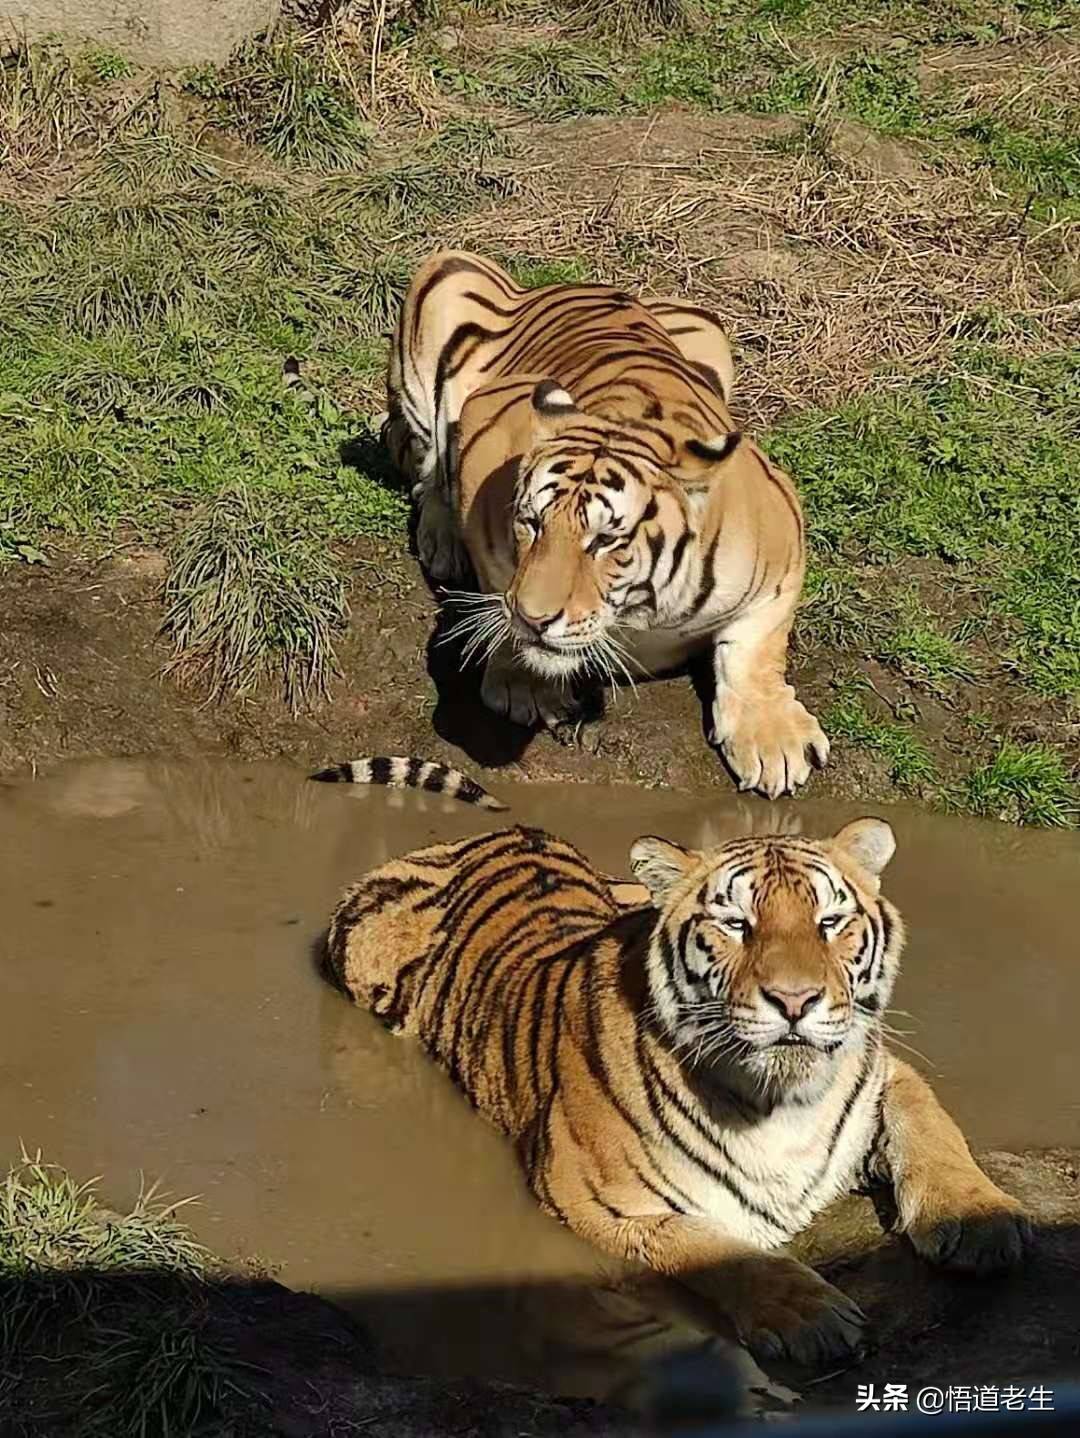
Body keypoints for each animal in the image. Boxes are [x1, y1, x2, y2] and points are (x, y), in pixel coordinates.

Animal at [323, 776, 1029, 1357]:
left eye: (830, 922)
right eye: (735, 924)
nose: (795, 1000)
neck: (782, 1097)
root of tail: (496, 832)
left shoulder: (883, 1070)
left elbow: (933, 1125)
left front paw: (978, 1220)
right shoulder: (596, 1202)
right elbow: (716, 1250)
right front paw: (809, 1314)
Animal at [382, 253, 828, 805]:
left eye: (604, 541)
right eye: (532, 524)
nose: (534, 619)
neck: (644, 610)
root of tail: (557, 285)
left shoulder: (782, 541)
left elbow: (756, 649)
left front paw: (773, 741)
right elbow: (499, 581)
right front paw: (525, 683)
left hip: (707, 325)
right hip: (449, 274)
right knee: (428, 462)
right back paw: (442, 541)